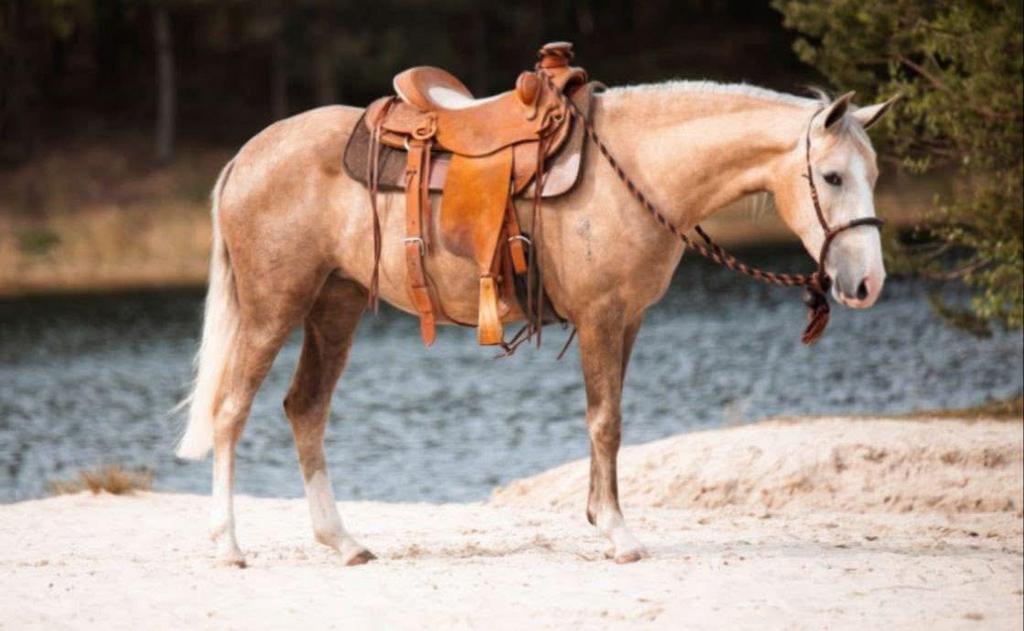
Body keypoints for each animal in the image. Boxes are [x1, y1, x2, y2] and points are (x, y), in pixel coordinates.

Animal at [175, 79, 896, 567]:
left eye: (873, 173)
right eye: (833, 176)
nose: (867, 285)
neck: (635, 168)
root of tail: (247, 156)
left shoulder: (628, 321)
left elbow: (609, 418)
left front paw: (600, 515)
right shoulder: (602, 316)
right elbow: (605, 421)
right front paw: (618, 533)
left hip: (336, 305)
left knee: (306, 409)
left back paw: (344, 542)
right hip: (273, 307)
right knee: (232, 411)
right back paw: (228, 545)